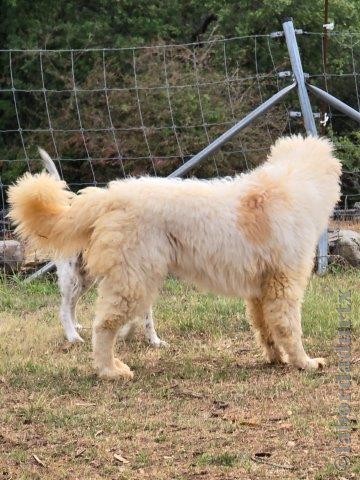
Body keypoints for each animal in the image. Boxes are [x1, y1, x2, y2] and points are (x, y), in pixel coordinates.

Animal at [8, 135, 340, 378]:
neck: (291, 182)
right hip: (128, 281)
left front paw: (275, 358)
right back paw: (110, 370)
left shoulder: (260, 289)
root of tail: (111, 195)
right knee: (100, 325)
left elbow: (265, 327)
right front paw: (305, 362)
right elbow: (289, 327)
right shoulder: (284, 286)